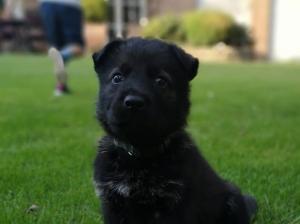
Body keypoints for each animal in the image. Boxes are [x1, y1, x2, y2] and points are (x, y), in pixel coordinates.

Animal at [92, 37, 256, 223]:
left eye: (160, 81)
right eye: (117, 78)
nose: (133, 102)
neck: (139, 155)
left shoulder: (176, 204)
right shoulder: (112, 203)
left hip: (233, 200)